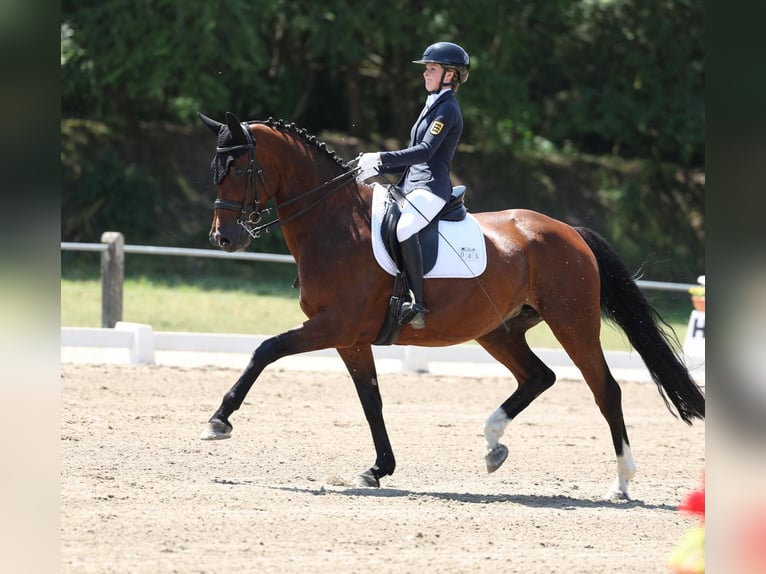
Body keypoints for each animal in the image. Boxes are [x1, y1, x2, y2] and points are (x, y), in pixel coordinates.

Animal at [196, 111, 708, 500]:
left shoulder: (333, 325)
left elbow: (265, 350)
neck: (337, 224)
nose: (225, 239)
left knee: (605, 390)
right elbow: (371, 400)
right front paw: (378, 469)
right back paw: (493, 444)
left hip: (572, 323)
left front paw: (218, 421)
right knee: (538, 377)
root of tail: (570, 231)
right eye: (214, 171)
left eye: (239, 170)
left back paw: (621, 482)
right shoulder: (351, 339)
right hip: (498, 329)